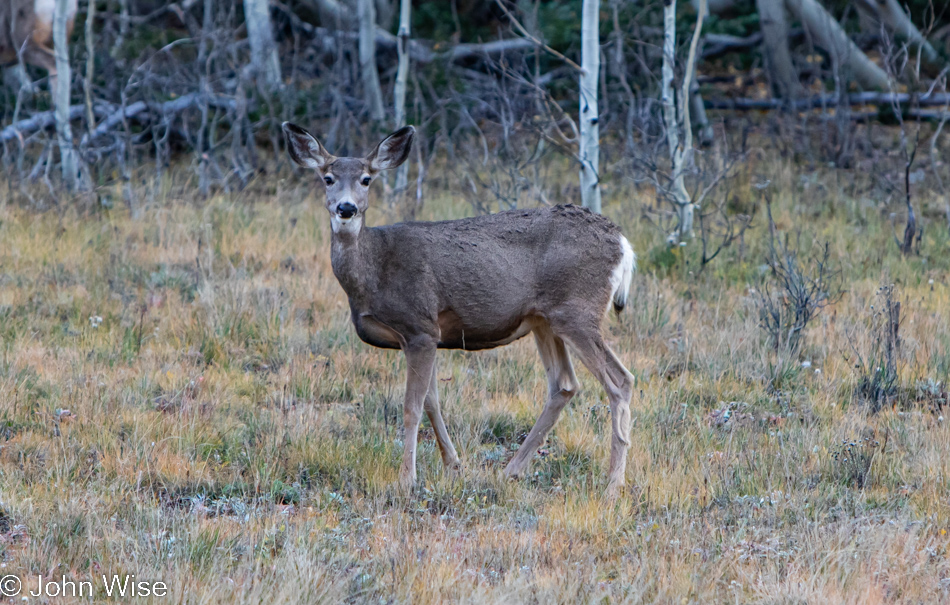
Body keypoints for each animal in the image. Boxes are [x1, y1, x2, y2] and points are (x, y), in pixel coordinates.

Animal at [282, 121, 640, 496]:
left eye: (366, 179)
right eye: (327, 178)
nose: (346, 208)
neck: (373, 270)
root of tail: (622, 243)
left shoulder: (420, 326)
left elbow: (411, 406)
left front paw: (407, 480)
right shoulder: (424, 337)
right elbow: (431, 401)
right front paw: (453, 466)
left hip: (578, 311)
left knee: (620, 381)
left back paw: (613, 484)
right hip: (545, 318)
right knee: (564, 385)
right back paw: (512, 470)